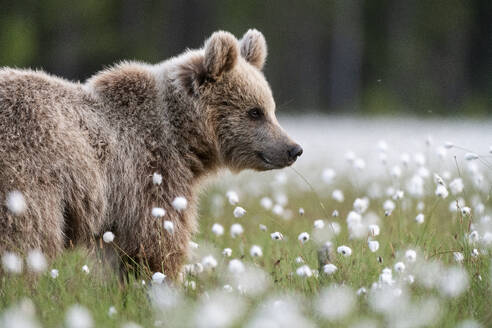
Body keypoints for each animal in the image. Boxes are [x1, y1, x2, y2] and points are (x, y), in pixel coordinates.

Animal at [0, 29, 300, 278]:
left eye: (271, 108)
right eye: (255, 112)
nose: (293, 149)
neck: (184, 138)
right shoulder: (150, 174)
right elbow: (157, 241)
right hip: (29, 177)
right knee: (25, 239)